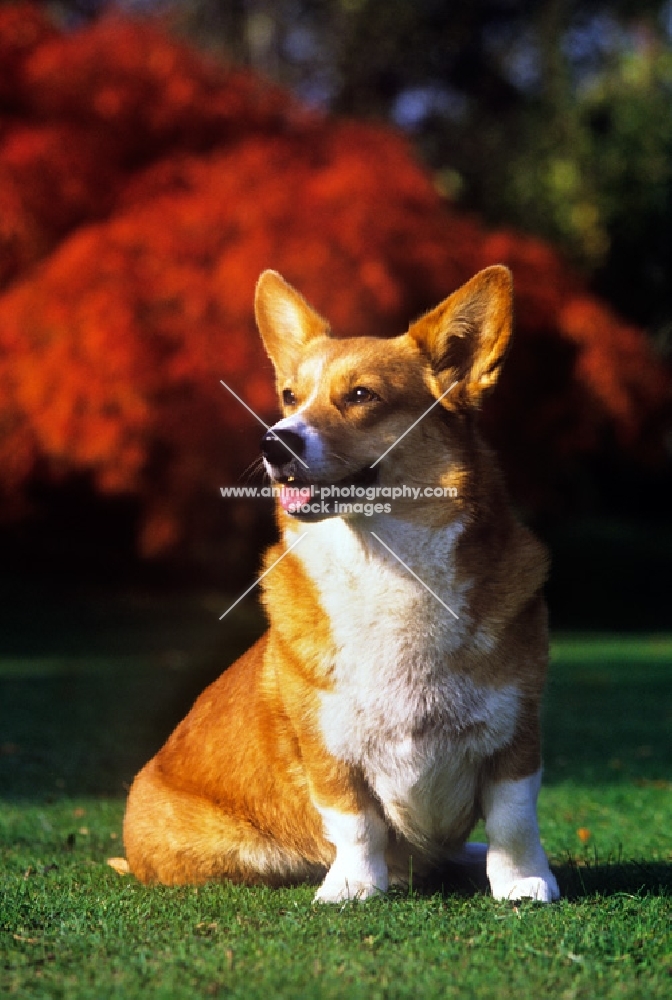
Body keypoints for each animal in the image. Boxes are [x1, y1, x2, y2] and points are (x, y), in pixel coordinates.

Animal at [123, 266, 560, 908]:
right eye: (288, 397)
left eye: (361, 396)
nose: (273, 442)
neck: (386, 565)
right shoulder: (329, 748)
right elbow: (354, 821)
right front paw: (354, 887)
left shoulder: (517, 732)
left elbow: (513, 818)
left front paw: (523, 881)